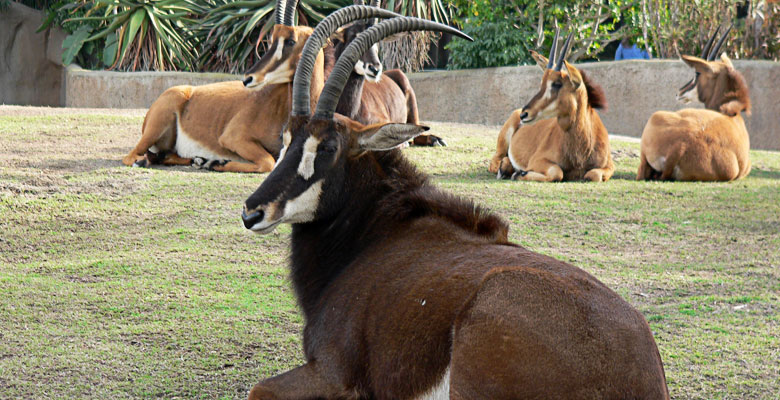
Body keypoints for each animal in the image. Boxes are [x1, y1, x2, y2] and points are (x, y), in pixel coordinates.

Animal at [121, 1, 399, 173]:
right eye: (271, 38)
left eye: (291, 40)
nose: (248, 78)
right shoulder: (233, 137)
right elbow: (267, 162)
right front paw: (218, 164)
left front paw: (213, 162)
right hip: (154, 129)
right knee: (131, 156)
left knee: (168, 155)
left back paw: (198, 159)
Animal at [489, 28, 613, 182]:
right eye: (542, 83)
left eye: (557, 84)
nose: (524, 114)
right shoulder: (537, 160)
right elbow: (557, 172)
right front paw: (519, 173)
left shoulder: (609, 166)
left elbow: (593, 174)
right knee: (495, 160)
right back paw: (506, 169)